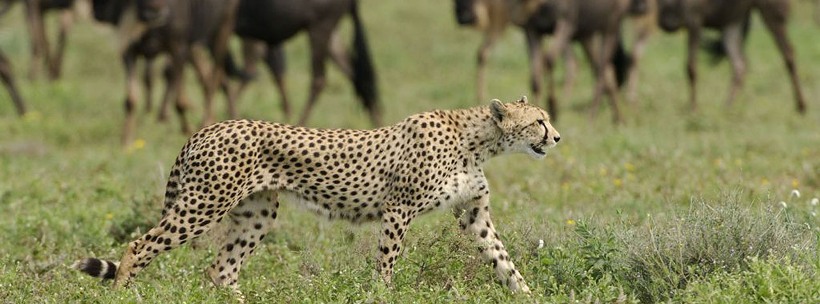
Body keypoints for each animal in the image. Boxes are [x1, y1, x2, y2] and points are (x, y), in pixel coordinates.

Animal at [75, 95, 556, 294]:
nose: (557, 138)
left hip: (256, 213)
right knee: (139, 245)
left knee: (220, 270)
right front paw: (382, 294)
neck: (478, 140)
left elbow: (504, 260)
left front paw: (529, 294)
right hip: (204, 204)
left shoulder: (473, 214)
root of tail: (209, 126)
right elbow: (386, 264)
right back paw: (125, 293)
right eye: (539, 121)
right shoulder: (398, 209)